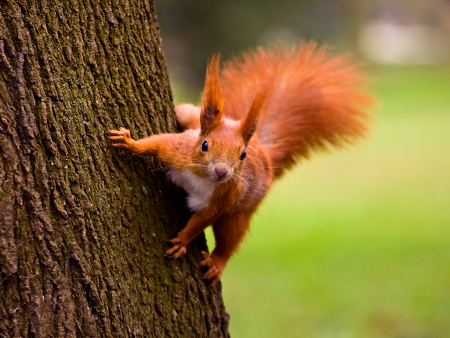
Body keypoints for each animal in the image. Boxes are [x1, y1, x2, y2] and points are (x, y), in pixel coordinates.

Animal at [106, 42, 372, 286]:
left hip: (240, 213)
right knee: (185, 112)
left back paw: (217, 263)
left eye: (242, 154)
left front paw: (182, 241)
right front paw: (130, 142)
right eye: (204, 145)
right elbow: (157, 143)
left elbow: (202, 220)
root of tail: (265, 154)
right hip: (190, 117)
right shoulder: (179, 151)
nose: (222, 172)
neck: (202, 177)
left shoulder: (225, 198)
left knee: (230, 238)